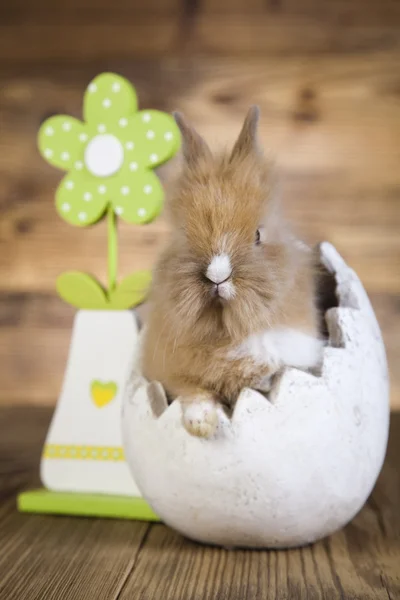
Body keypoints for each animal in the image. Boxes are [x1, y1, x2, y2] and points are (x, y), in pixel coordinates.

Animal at [141, 105, 322, 438]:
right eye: (184, 235)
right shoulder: (169, 374)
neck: (226, 331)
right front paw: (201, 425)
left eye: (258, 235)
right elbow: (193, 391)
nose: (217, 276)